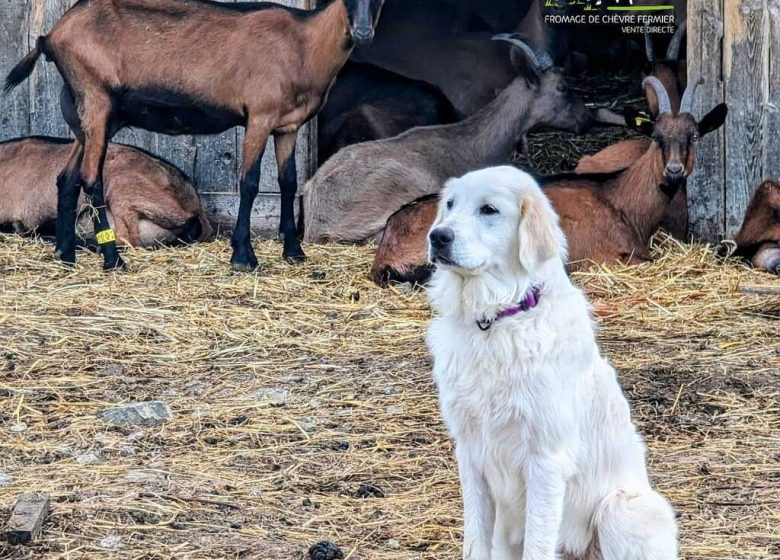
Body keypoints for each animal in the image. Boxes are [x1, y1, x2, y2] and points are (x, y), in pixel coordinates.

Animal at [368, 77, 728, 284]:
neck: (618, 198)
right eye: (656, 136)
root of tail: (389, 237)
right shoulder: (607, 258)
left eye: (694, 136)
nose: (674, 171)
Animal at [426, 166, 676, 560]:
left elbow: (538, 544)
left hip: (621, 510)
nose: (438, 236)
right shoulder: (470, 453)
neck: (496, 319)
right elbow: (475, 540)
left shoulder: (545, 458)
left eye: (489, 210)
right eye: (450, 205)